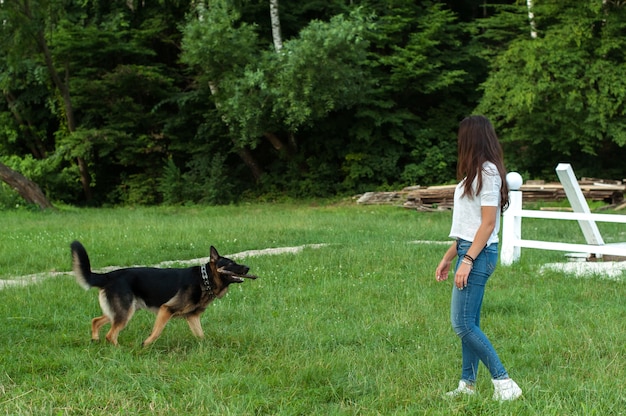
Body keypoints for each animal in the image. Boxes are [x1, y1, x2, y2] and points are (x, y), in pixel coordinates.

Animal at [72, 239, 258, 346]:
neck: (204, 279)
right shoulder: (166, 310)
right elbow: (156, 333)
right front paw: (145, 345)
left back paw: (95, 340)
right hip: (126, 312)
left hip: (125, 310)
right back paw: (119, 349)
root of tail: (108, 275)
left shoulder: (192, 317)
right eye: (231, 263)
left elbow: (201, 335)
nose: (248, 268)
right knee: (111, 335)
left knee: (96, 321)